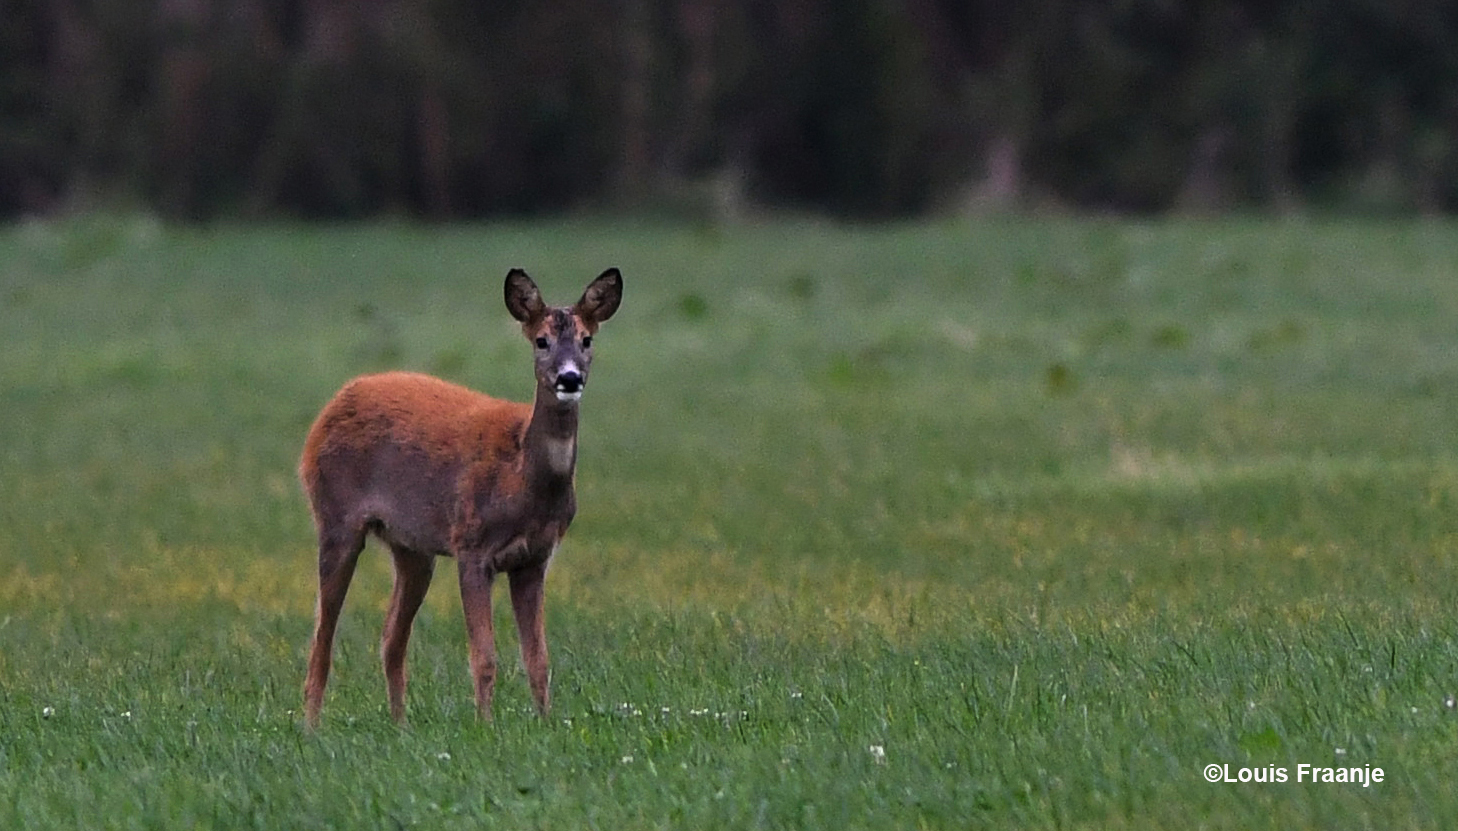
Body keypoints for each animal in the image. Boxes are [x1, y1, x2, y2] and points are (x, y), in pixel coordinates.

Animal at [298, 266, 624, 723]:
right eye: (541, 340)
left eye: (587, 339)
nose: (569, 378)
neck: (522, 480)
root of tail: (331, 407)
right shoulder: (472, 546)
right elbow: (484, 656)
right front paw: (485, 725)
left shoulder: (535, 559)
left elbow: (538, 658)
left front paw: (545, 722)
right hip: (335, 519)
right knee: (321, 639)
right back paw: (312, 727)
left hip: (412, 548)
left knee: (391, 638)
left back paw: (400, 725)